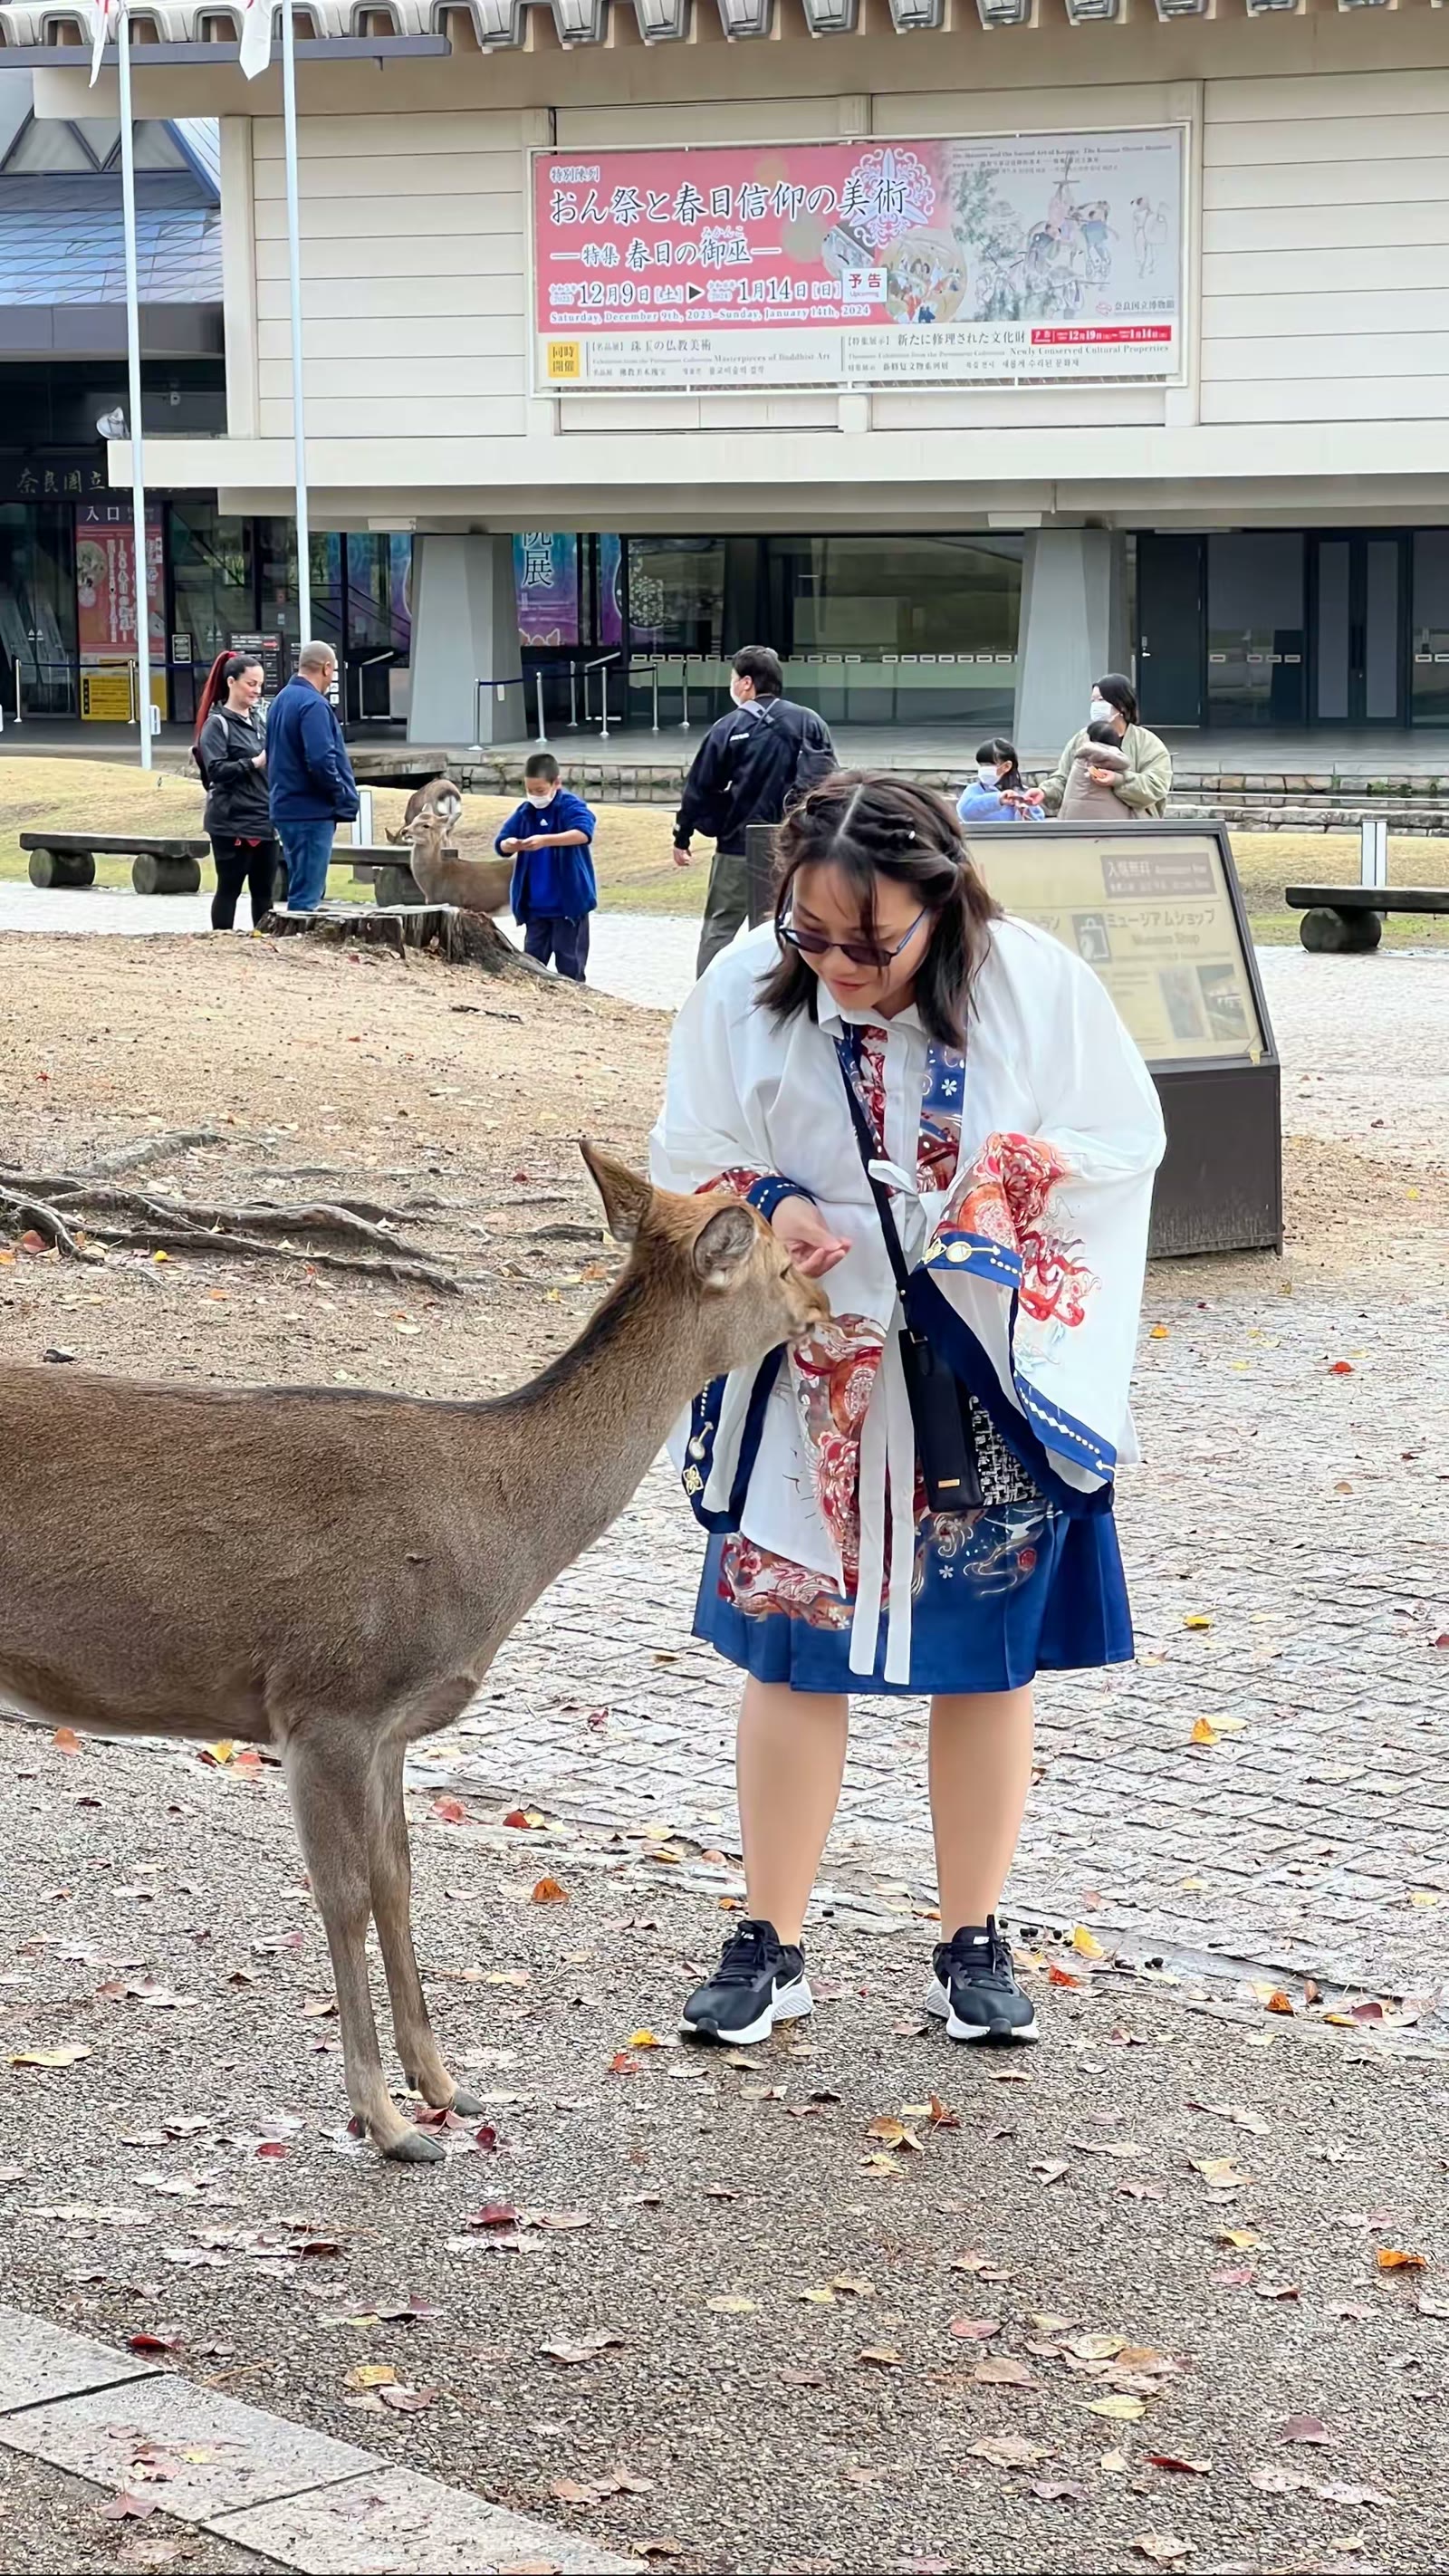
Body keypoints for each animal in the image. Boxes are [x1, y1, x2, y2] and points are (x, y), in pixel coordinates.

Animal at [0, 1147, 828, 2163]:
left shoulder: (393, 1726)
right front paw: (386, 2122)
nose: (824, 1306)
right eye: (781, 1263)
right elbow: (346, 1897)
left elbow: (399, 1882)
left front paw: (444, 2086)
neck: (493, 1534)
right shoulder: (326, 1701)